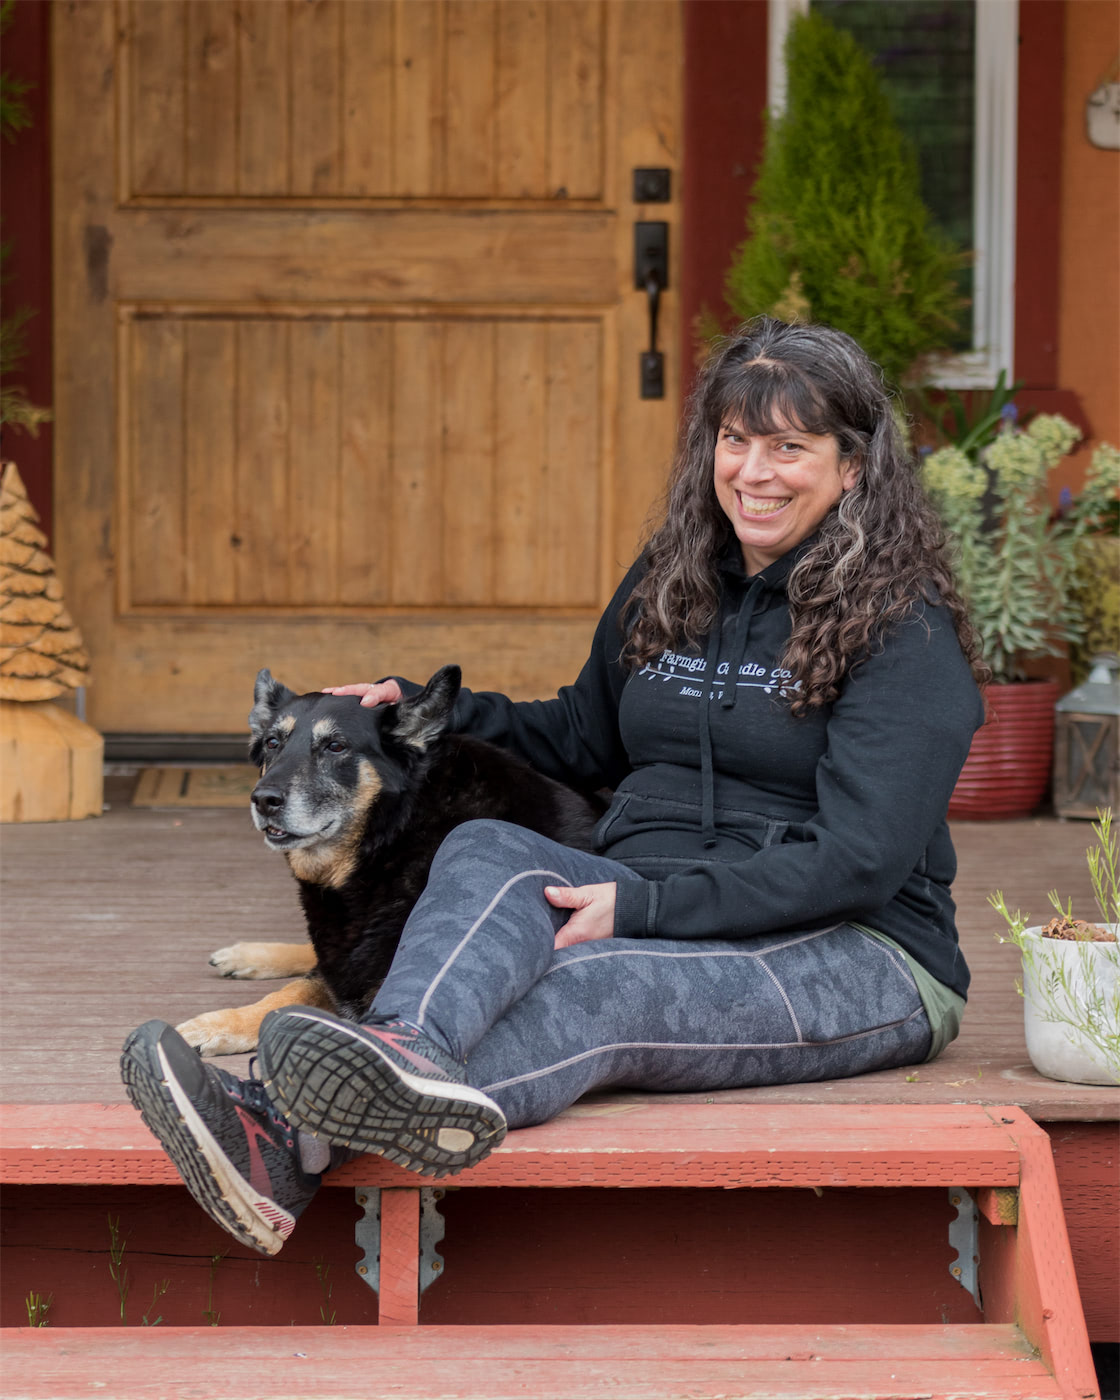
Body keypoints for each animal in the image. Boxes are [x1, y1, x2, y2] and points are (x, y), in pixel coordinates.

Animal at [172, 663, 604, 1052]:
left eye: (335, 746)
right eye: (273, 744)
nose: (263, 800)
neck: (395, 835)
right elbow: (293, 991)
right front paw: (216, 1024)